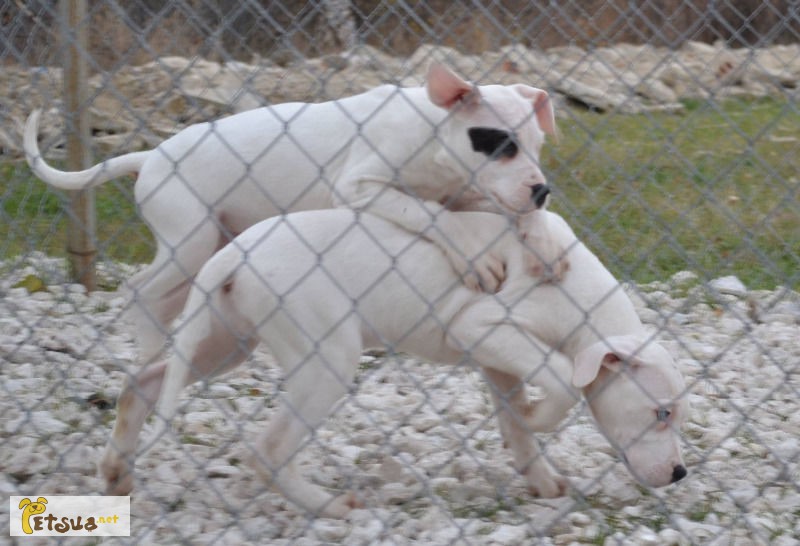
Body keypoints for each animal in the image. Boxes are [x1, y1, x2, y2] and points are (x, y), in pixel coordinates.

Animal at [26, 62, 564, 366]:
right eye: (503, 146)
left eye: (537, 146)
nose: (543, 189)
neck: (433, 133)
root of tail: (153, 156)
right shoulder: (358, 186)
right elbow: (428, 212)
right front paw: (476, 258)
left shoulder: (474, 194)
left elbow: (506, 216)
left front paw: (543, 242)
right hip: (189, 240)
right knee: (140, 291)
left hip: (209, 246)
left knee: (161, 300)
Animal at [104, 207, 688, 516]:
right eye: (661, 413)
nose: (681, 473)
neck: (575, 291)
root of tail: (234, 250)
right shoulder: (483, 326)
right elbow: (564, 379)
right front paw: (539, 415)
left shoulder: (497, 356)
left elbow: (515, 422)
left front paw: (541, 476)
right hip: (326, 358)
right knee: (267, 450)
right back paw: (326, 506)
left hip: (226, 342)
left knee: (143, 383)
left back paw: (116, 471)